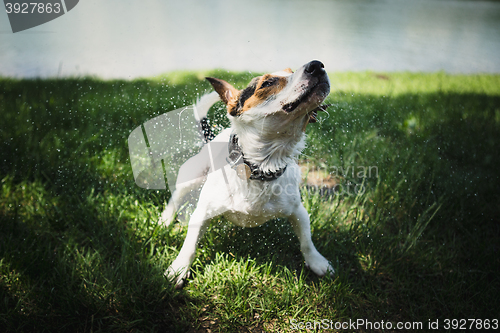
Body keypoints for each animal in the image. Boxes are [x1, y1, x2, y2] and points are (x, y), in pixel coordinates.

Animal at [161, 60, 332, 288]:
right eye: (267, 82)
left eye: (291, 71)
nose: (317, 64)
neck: (260, 168)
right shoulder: (202, 213)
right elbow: (189, 245)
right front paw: (178, 269)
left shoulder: (299, 212)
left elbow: (306, 241)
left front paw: (317, 262)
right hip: (192, 175)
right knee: (176, 197)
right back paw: (165, 219)